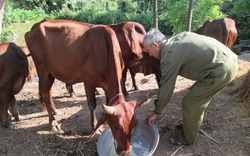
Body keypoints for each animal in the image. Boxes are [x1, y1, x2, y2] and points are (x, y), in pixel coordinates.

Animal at [24, 19, 137, 155]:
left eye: (134, 125)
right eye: (117, 127)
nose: (127, 151)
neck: (105, 50)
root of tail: (36, 26)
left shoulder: (107, 86)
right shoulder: (88, 81)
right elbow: (92, 105)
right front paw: (94, 127)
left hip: (50, 72)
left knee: (49, 93)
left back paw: (55, 112)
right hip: (42, 69)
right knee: (45, 94)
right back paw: (53, 123)